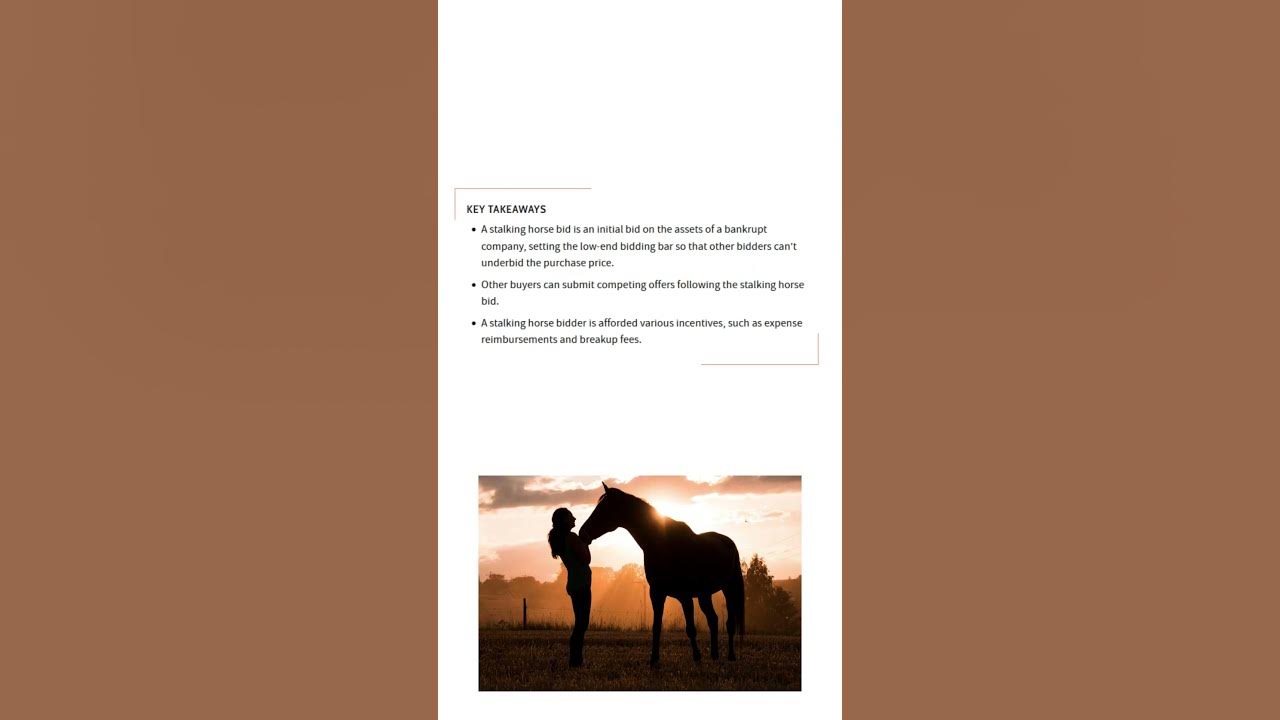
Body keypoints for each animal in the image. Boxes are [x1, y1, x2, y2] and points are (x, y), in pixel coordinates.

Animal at [579, 482, 745, 667]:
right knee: (713, 620)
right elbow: (656, 626)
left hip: (729, 589)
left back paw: (730, 655)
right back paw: (714, 655)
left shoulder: (685, 596)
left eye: (603, 508)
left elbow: (690, 628)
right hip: (704, 595)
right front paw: (654, 659)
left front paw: (696, 656)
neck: (662, 543)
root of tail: (728, 542)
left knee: (729, 623)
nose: (582, 533)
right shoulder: (657, 593)